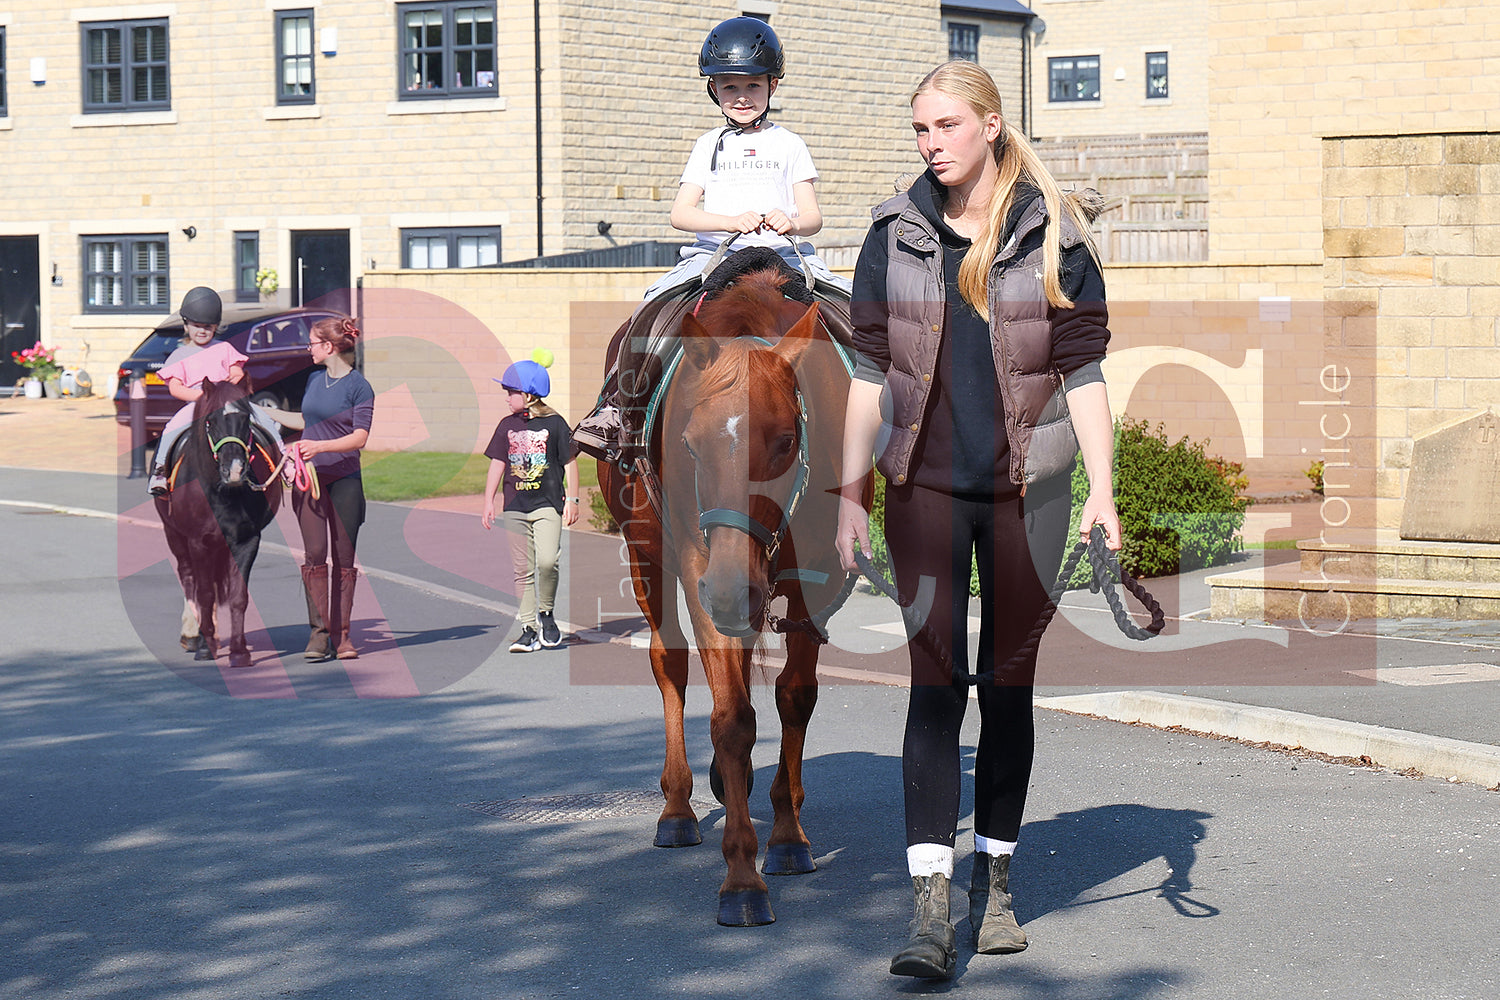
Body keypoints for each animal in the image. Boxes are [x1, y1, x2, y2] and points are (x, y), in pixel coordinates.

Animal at [158, 379, 283, 668]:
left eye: (246, 418)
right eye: (211, 421)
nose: (235, 470)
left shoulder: (246, 540)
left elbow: (238, 596)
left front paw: (239, 651)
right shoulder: (197, 541)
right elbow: (204, 593)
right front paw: (204, 647)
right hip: (174, 535)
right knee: (188, 577)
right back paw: (193, 635)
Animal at [594, 268, 864, 929]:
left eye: (786, 440)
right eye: (691, 444)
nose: (726, 587)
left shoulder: (818, 582)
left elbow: (794, 697)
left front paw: (788, 836)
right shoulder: (700, 571)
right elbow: (732, 719)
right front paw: (741, 877)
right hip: (648, 554)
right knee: (670, 662)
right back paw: (678, 809)